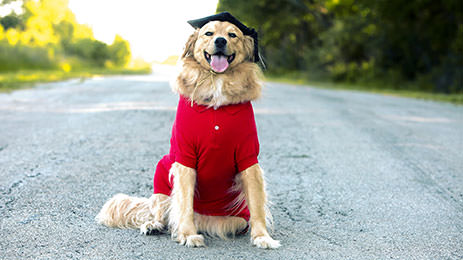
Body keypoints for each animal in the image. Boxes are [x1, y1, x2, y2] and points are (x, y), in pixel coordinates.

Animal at [96, 12, 280, 250]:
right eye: (209, 33)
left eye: (232, 35)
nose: (220, 41)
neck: (216, 82)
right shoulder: (184, 158)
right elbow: (183, 203)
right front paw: (187, 234)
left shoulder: (248, 158)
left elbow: (257, 204)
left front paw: (262, 237)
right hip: (162, 173)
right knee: (161, 211)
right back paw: (155, 225)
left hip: (235, 219)